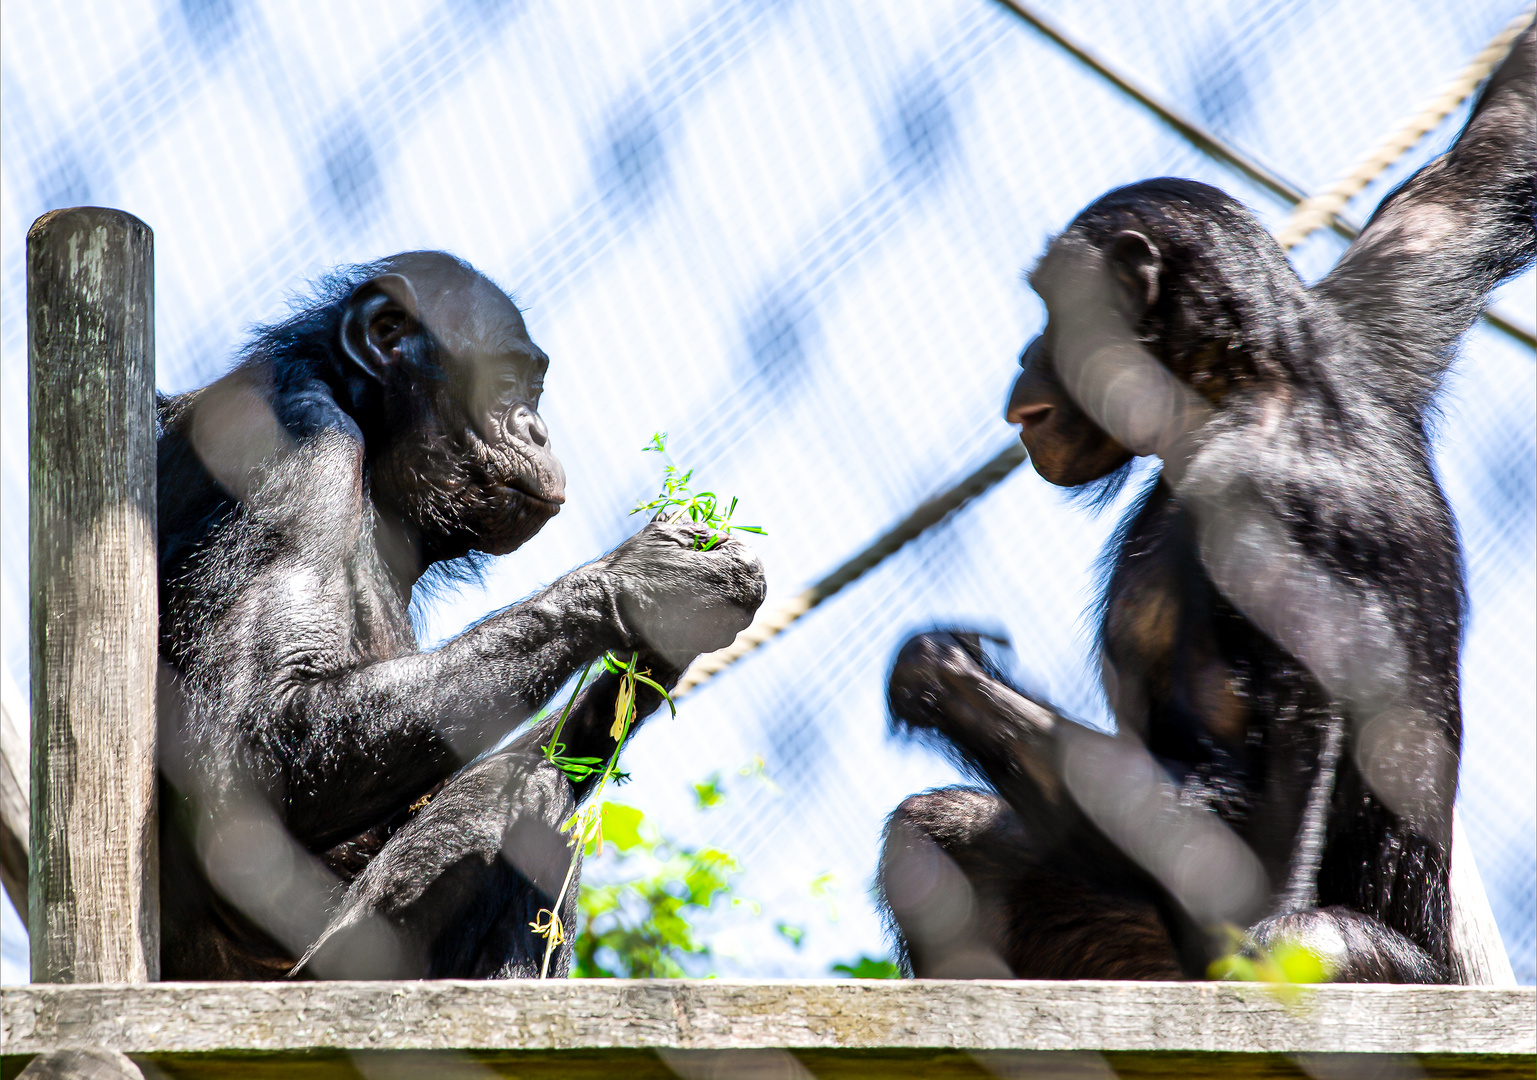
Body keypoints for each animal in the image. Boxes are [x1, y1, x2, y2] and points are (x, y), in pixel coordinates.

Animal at [156, 251, 768, 983]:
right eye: (505, 382)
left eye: (534, 387)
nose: (536, 429)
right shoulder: (297, 447)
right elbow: (253, 743)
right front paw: (652, 578)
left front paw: (658, 647)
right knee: (524, 798)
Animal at [885, 27, 1530, 989]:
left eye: (1052, 304)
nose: (1026, 350)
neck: (1242, 387)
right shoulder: (1373, 309)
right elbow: (1486, 163)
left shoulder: (1266, 518)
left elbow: (1249, 846)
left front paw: (939, 672)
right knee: (933, 836)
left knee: (1294, 940)